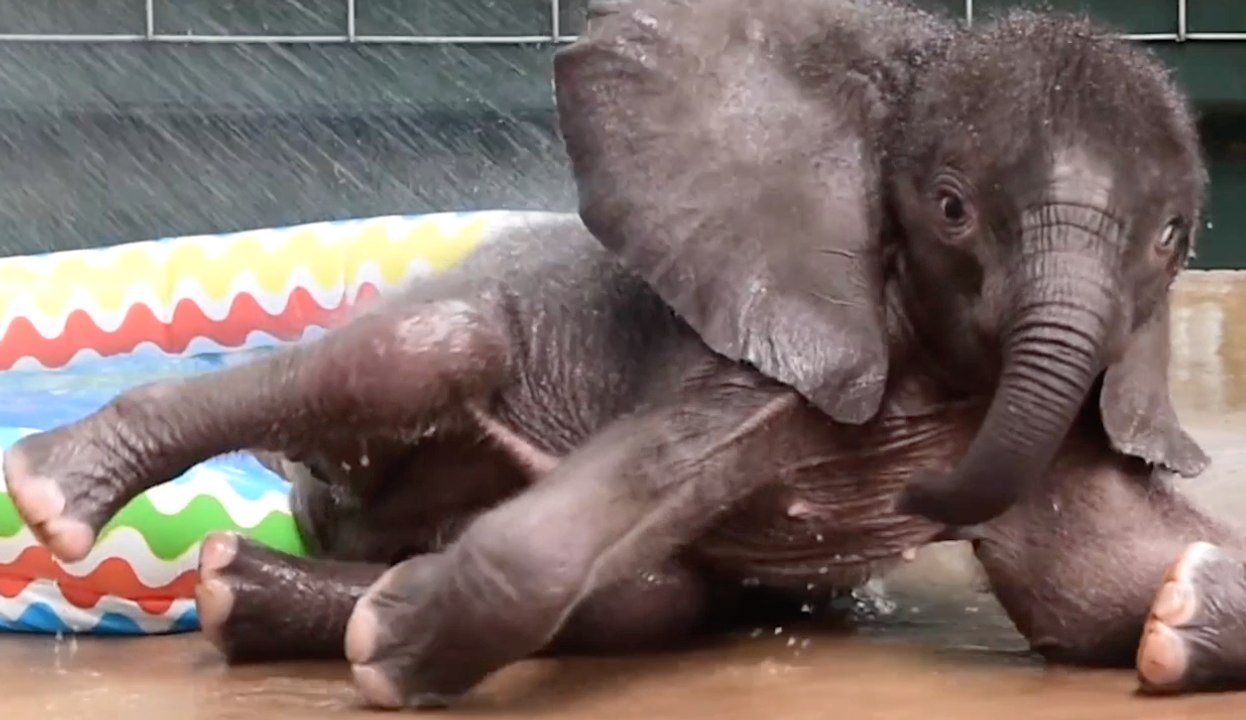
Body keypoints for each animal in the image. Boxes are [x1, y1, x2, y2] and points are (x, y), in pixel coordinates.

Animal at [2, 0, 1243, 710]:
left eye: (1171, 236)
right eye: (949, 210)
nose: (916, 505)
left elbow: (1093, 591)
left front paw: (1180, 616)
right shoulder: (769, 349)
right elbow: (621, 496)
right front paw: (392, 652)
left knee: (654, 598)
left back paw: (240, 588)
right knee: (429, 350)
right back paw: (59, 493)